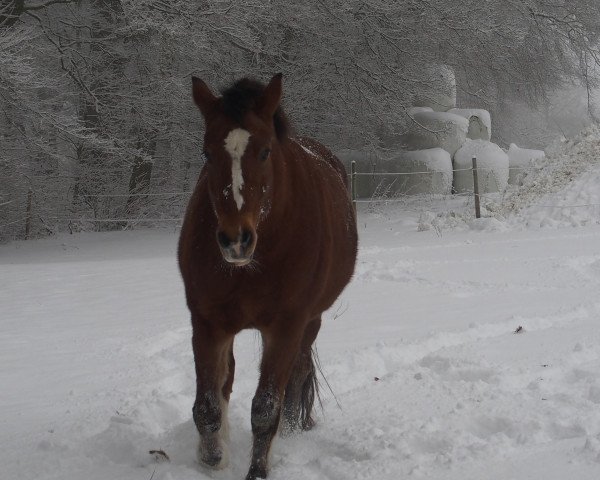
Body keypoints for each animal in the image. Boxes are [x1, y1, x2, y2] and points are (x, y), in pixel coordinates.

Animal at [178, 73, 356, 478]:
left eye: (264, 152)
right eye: (207, 153)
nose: (235, 240)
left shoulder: (287, 326)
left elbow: (265, 408)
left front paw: (257, 469)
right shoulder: (207, 323)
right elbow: (208, 404)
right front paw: (213, 457)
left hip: (311, 323)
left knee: (297, 376)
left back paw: (289, 430)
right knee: (227, 381)